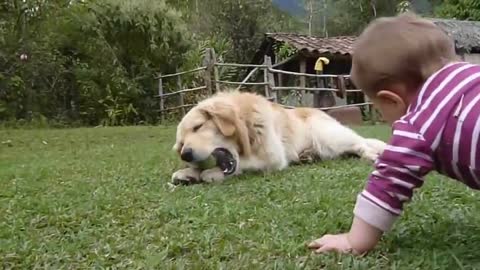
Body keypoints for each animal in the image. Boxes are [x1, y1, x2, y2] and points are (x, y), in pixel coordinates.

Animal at [172, 90, 386, 184]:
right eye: (181, 144)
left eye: (198, 126)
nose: (185, 155)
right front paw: (188, 173)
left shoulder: (273, 156)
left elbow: (244, 164)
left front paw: (207, 173)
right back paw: (307, 156)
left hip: (328, 137)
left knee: (361, 144)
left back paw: (371, 155)